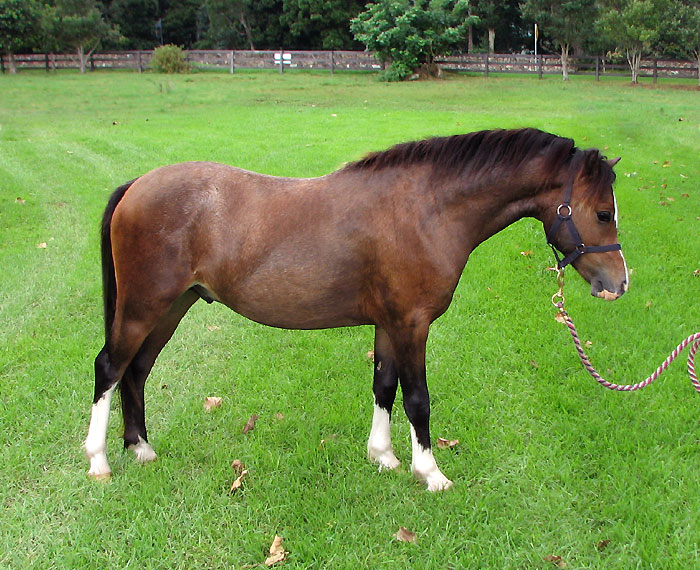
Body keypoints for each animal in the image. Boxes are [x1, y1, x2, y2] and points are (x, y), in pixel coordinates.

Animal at [84, 128, 628, 491]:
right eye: (603, 213)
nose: (618, 284)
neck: (426, 209)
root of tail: (137, 184)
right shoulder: (411, 325)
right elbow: (417, 399)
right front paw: (430, 473)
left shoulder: (389, 324)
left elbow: (384, 387)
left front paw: (383, 456)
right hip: (145, 307)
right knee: (110, 367)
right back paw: (99, 461)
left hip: (172, 306)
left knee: (136, 370)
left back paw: (141, 448)